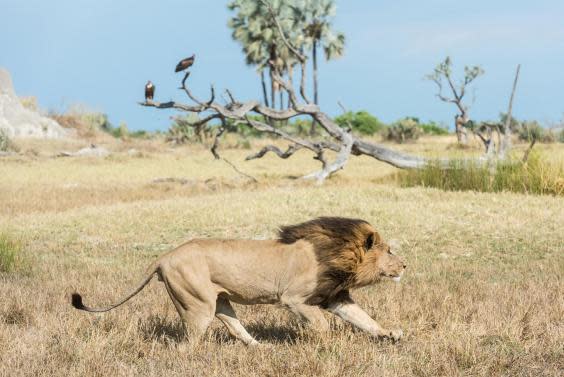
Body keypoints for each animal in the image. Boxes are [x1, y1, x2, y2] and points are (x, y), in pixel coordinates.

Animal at [71, 217, 406, 344]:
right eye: (390, 250)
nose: (405, 264)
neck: (341, 254)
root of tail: (164, 256)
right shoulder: (294, 298)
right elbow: (322, 324)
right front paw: (324, 343)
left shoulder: (334, 296)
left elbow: (365, 319)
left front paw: (391, 334)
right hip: (197, 305)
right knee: (188, 342)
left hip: (220, 301)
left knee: (236, 327)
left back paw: (262, 348)